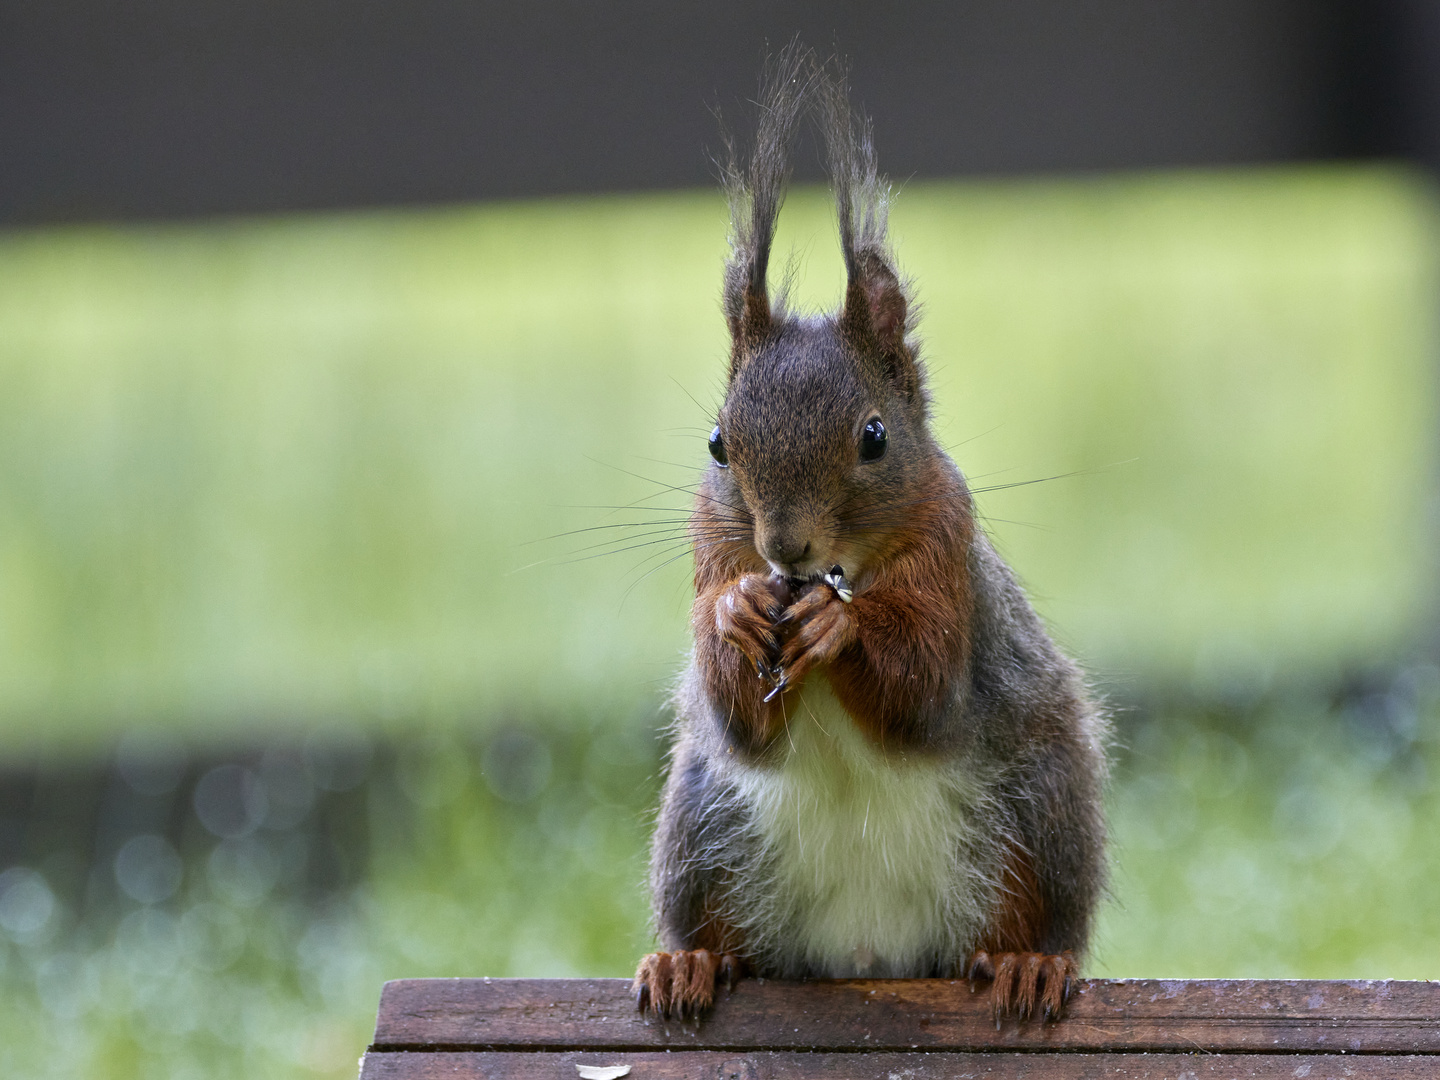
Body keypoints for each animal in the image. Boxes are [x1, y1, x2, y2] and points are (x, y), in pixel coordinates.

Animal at [633, 50, 1111, 1025]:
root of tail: (867, 953)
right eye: (718, 444)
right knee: (725, 928)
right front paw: (735, 613)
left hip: (1041, 816)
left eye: (876, 437)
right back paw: (690, 964)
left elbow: (921, 687)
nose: (785, 549)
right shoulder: (713, 547)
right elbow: (742, 721)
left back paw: (1027, 966)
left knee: (1027, 917)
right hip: (702, 832)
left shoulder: (947, 555)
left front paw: (842, 626)